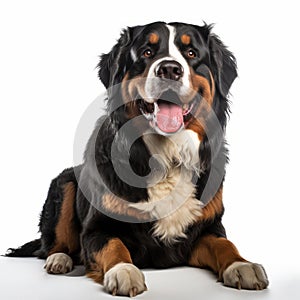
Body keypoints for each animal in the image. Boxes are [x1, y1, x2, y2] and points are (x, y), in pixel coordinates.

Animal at [6, 21, 270, 298]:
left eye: (191, 53)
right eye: (146, 52)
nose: (169, 69)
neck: (168, 157)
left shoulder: (207, 227)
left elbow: (224, 244)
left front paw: (242, 265)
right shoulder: (97, 228)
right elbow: (114, 244)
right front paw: (123, 271)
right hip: (64, 183)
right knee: (53, 243)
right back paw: (59, 259)